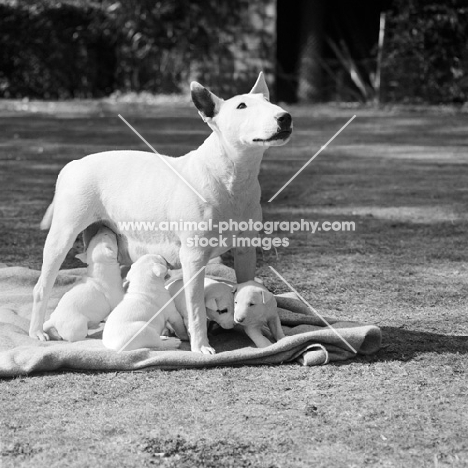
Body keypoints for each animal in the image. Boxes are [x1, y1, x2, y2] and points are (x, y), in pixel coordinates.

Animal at [29, 71, 292, 352]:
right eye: (241, 106)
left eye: (268, 101)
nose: (285, 117)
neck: (231, 176)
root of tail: (72, 165)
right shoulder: (193, 256)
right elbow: (196, 308)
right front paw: (201, 346)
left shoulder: (245, 250)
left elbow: (244, 285)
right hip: (63, 234)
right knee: (42, 285)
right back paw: (37, 332)